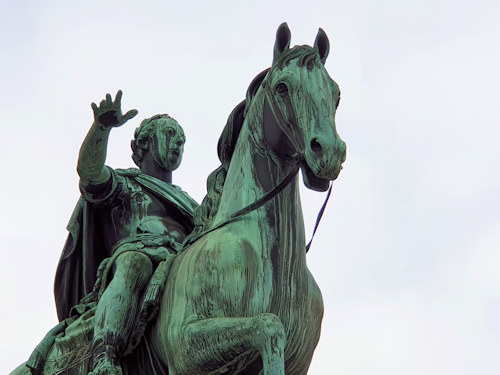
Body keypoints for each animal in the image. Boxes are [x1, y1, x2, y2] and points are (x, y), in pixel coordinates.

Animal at [12, 23, 348, 375]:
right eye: (282, 87)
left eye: (336, 94)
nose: (329, 153)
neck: (268, 258)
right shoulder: (188, 347)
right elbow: (269, 325)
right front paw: (107, 117)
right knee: (131, 266)